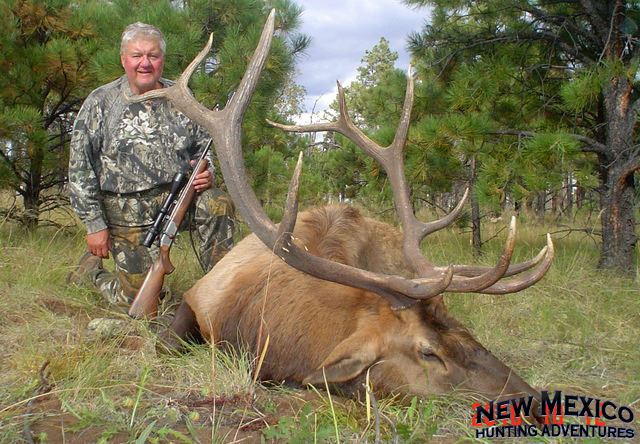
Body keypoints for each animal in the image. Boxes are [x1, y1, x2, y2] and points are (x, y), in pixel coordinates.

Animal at [128, 11, 553, 414]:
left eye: (463, 329)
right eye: (428, 351)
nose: (533, 398)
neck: (262, 330)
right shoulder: (197, 297)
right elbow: (164, 342)